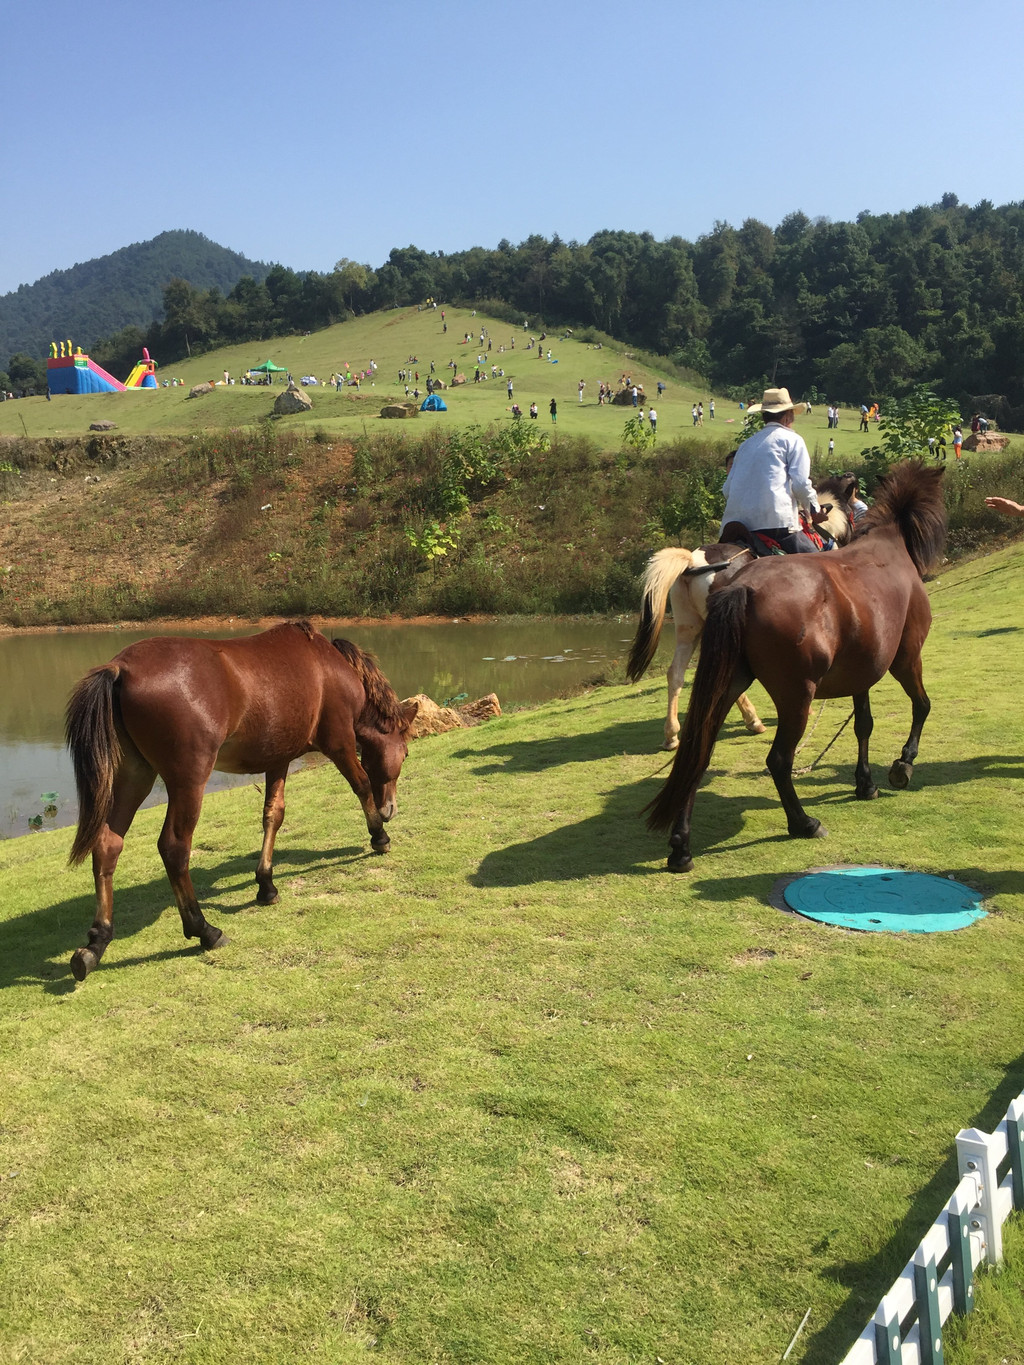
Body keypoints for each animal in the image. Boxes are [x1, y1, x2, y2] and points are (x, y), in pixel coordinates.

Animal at [65, 625, 417, 977]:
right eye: (405, 752)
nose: (391, 809)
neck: (330, 666)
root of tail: (122, 668)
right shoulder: (340, 741)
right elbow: (361, 785)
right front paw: (380, 836)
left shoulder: (279, 759)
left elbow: (273, 815)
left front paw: (266, 884)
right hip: (187, 782)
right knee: (174, 848)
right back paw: (204, 930)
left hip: (134, 776)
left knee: (108, 845)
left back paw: (96, 943)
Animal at [630, 472, 862, 748]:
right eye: (852, 512)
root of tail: (693, 562)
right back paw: (753, 720)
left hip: (689, 626)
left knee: (676, 672)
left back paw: (672, 734)